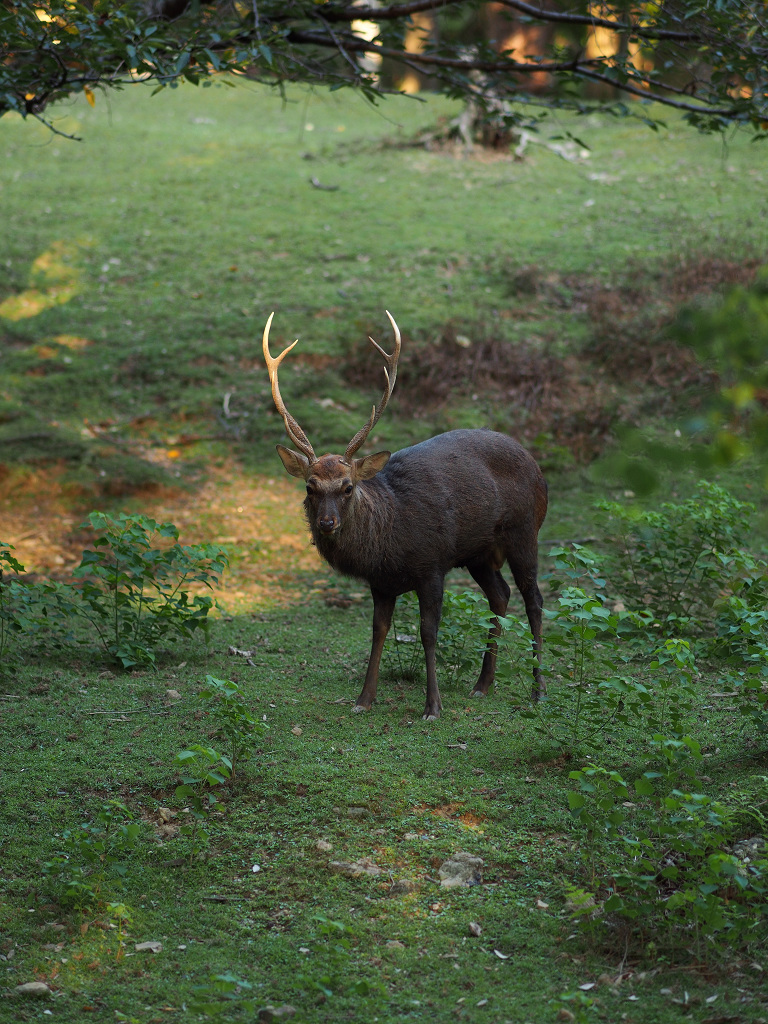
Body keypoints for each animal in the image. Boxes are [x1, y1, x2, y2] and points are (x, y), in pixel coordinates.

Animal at [264, 311, 548, 720]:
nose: (326, 523)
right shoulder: (380, 583)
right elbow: (378, 630)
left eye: (347, 486)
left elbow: (428, 632)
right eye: (309, 487)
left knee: (534, 599)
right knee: (500, 594)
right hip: (478, 553)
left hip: (526, 530)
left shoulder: (432, 565)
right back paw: (482, 684)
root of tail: (536, 464)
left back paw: (538, 690)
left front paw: (432, 706)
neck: (389, 543)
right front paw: (364, 699)